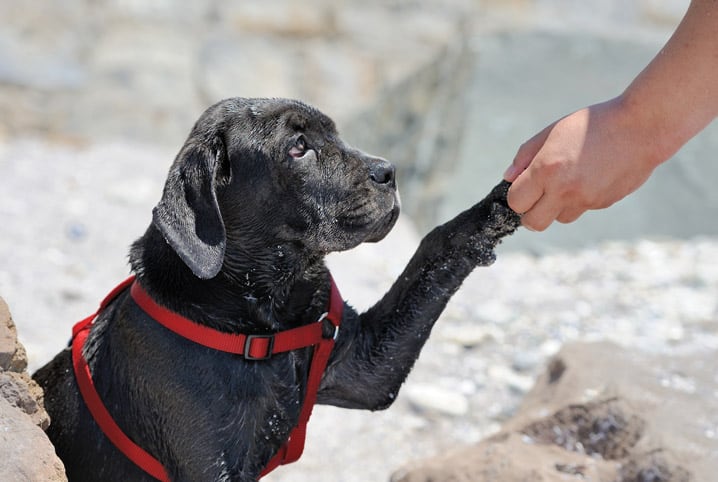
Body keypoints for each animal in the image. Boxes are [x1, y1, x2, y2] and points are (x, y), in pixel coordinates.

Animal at [33, 96, 520, 480]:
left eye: (335, 134)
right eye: (297, 147)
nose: (389, 171)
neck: (263, 320)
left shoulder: (365, 367)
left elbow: (435, 246)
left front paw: (502, 203)